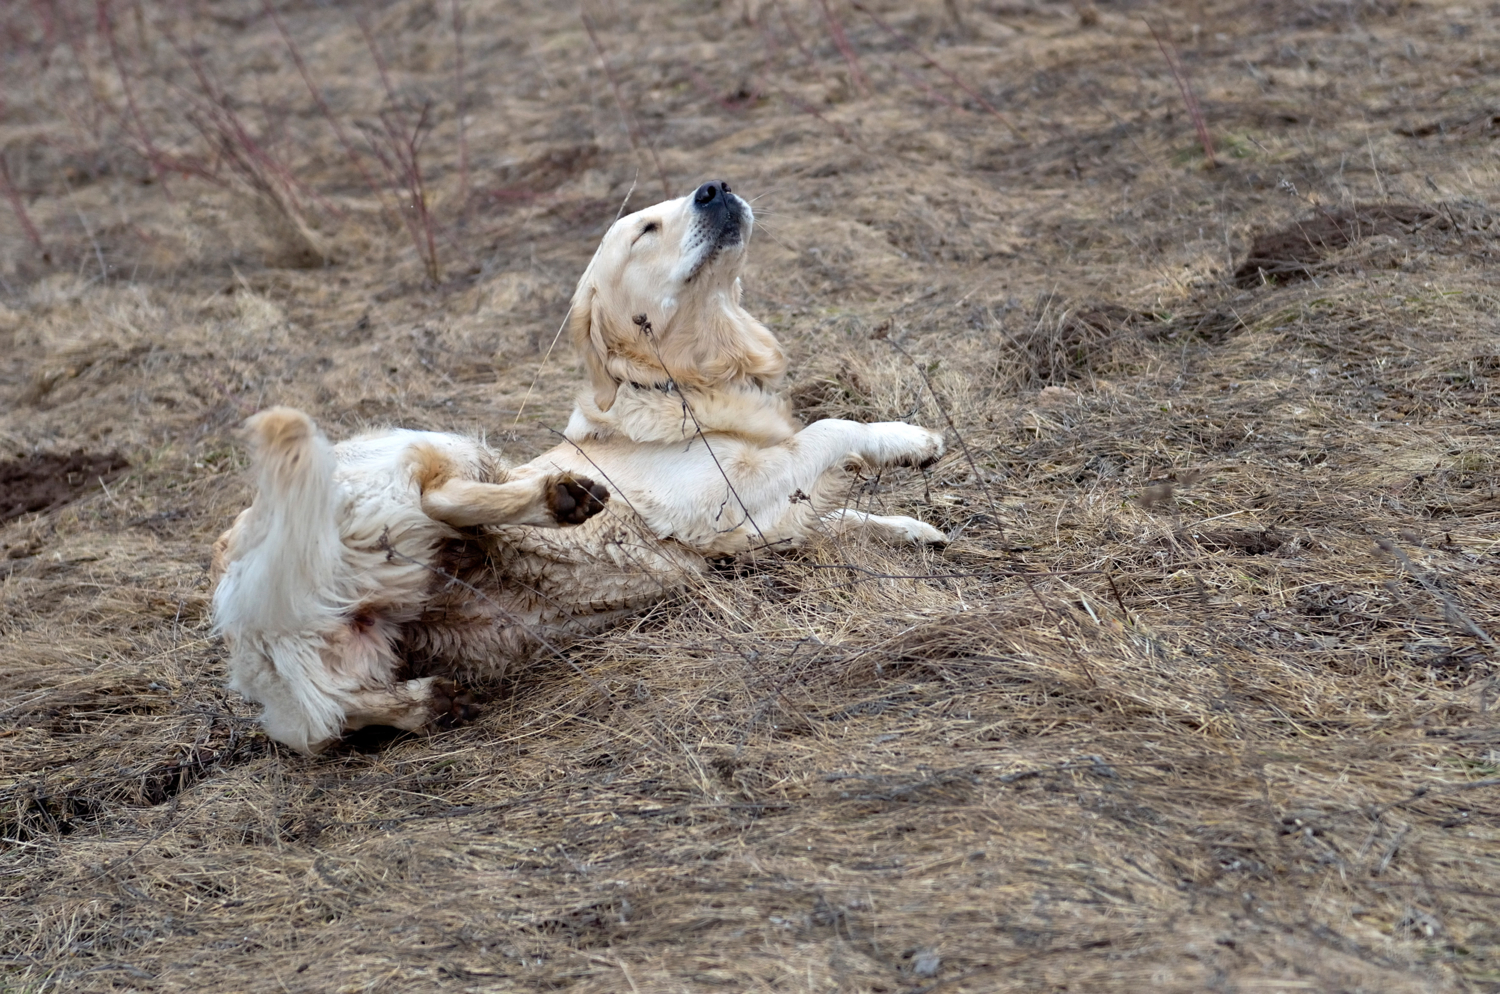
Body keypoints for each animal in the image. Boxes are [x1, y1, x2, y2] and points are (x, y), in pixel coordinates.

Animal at [216, 180, 942, 755]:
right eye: (645, 228)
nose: (715, 187)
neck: (688, 382)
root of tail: (241, 569)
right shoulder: (719, 502)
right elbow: (830, 430)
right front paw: (909, 438)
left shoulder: (749, 531)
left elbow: (837, 514)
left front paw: (912, 529)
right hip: (430, 447)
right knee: (440, 496)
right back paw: (557, 498)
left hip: (325, 673)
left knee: (331, 719)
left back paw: (429, 701)